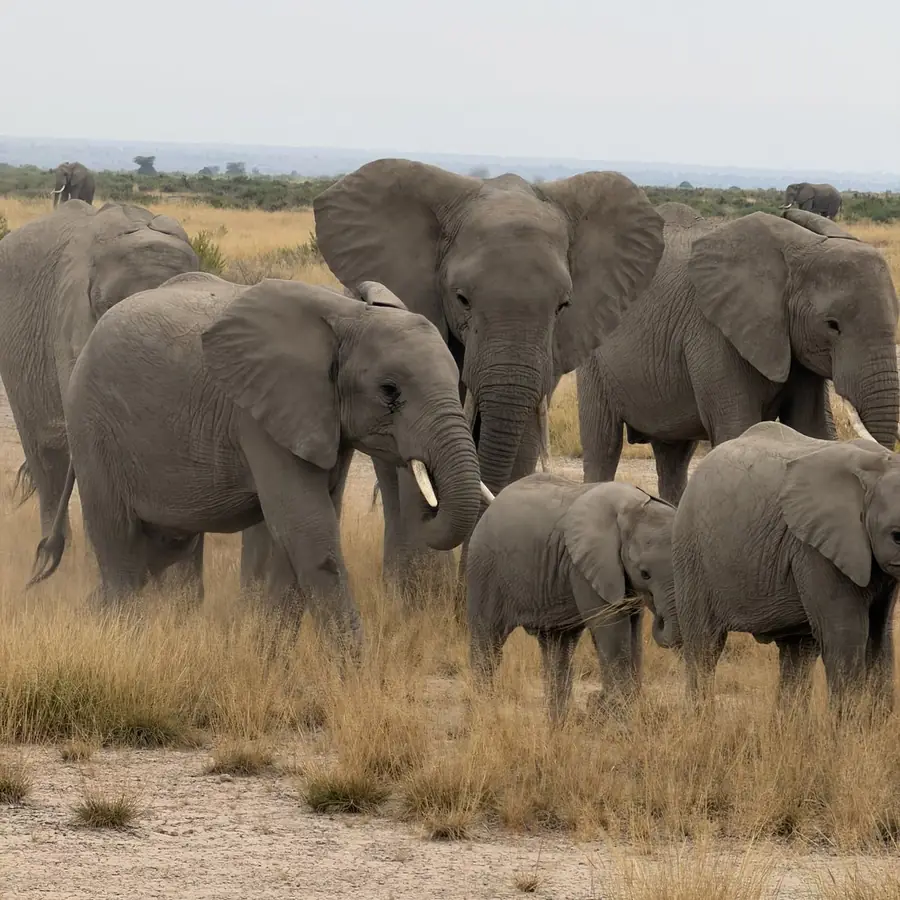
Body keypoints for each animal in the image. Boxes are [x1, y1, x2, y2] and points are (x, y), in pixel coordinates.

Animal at [30, 274, 488, 652]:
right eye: (389, 391)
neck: (346, 315)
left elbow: (300, 532)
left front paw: (270, 663)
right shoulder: (259, 415)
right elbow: (307, 528)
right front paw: (356, 677)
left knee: (157, 549)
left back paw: (89, 620)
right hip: (93, 431)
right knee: (121, 550)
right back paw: (121, 642)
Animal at [466, 473, 677, 722]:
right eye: (644, 573)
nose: (660, 617)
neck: (632, 507)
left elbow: (633, 630)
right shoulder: (587, 568)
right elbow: (611, 627)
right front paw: (615, 712)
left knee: (558, 648)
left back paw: (559, 724)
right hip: (485, 569)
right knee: (488, 641)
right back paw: (482, 709)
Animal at [578, 204, 900, 505]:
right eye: (832, 325)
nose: (787, 207)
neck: (797, 251)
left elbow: (812, 427)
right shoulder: (714, 332)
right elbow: (739, 427)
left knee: (673, 456)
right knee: (603, 444)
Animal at [669, 421, 900, 713]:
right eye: (897, 536)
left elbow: (881, 638)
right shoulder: (815, 551)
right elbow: (845, 638)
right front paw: (847, 725)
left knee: (798, 652)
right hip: (692, 555)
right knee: (704, 646)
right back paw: (701, 718)